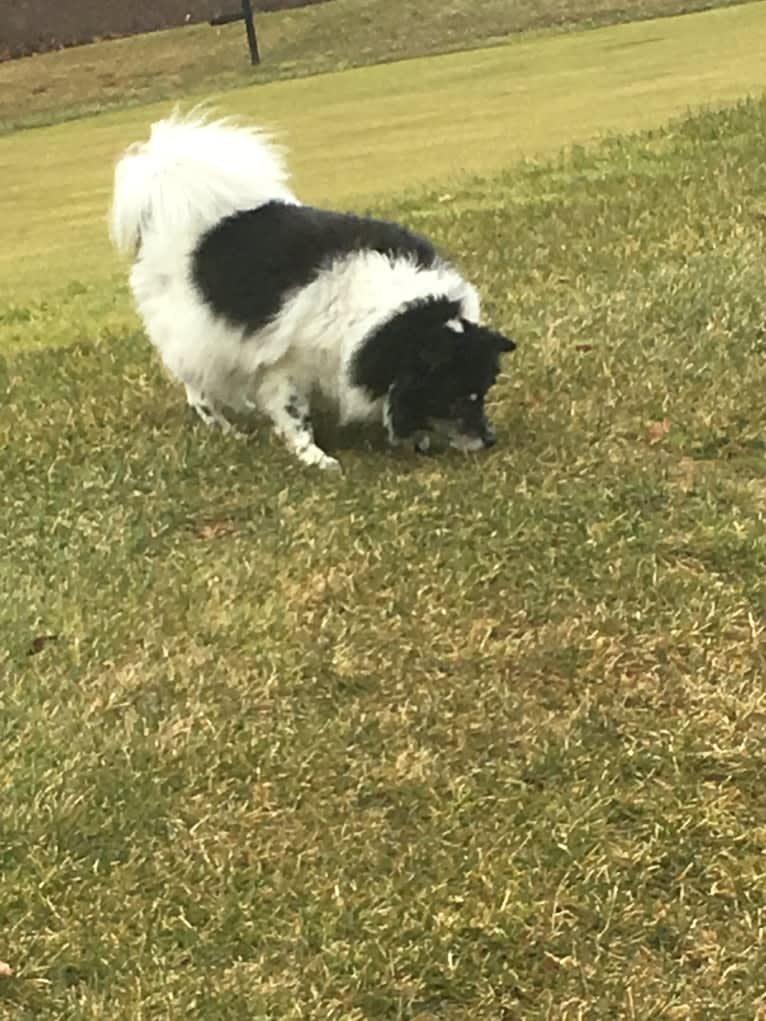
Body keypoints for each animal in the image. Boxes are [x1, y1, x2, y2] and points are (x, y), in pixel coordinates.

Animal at [109, 112, 516, 469]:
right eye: (455, 399)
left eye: (482, 393)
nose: (490, 440)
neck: (392, 316)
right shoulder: (284, 364)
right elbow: (294, 416)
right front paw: (315, 458)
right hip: (196, 333)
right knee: (198, 389)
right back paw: (225, 429)